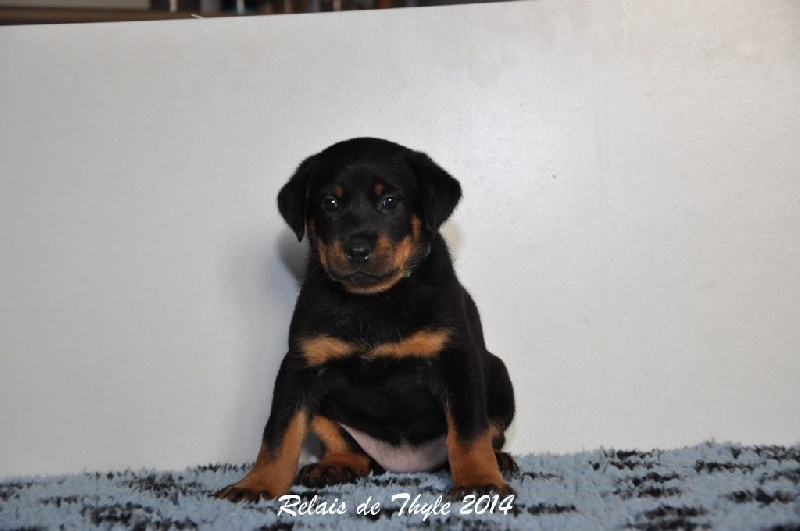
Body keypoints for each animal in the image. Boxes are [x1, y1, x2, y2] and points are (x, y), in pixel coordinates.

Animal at [215, 137, 517, 502]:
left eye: (390, 202)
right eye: (330, 203)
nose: (357, 249)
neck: (372, 300)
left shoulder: (456, 361)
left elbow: (469, 431)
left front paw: (478, 482)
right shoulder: (300, 367)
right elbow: (279, 433)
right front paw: (257, 483)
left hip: (498, 375)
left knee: (488, 433)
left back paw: (498, 459)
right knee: (345, 444)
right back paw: (335, 465)